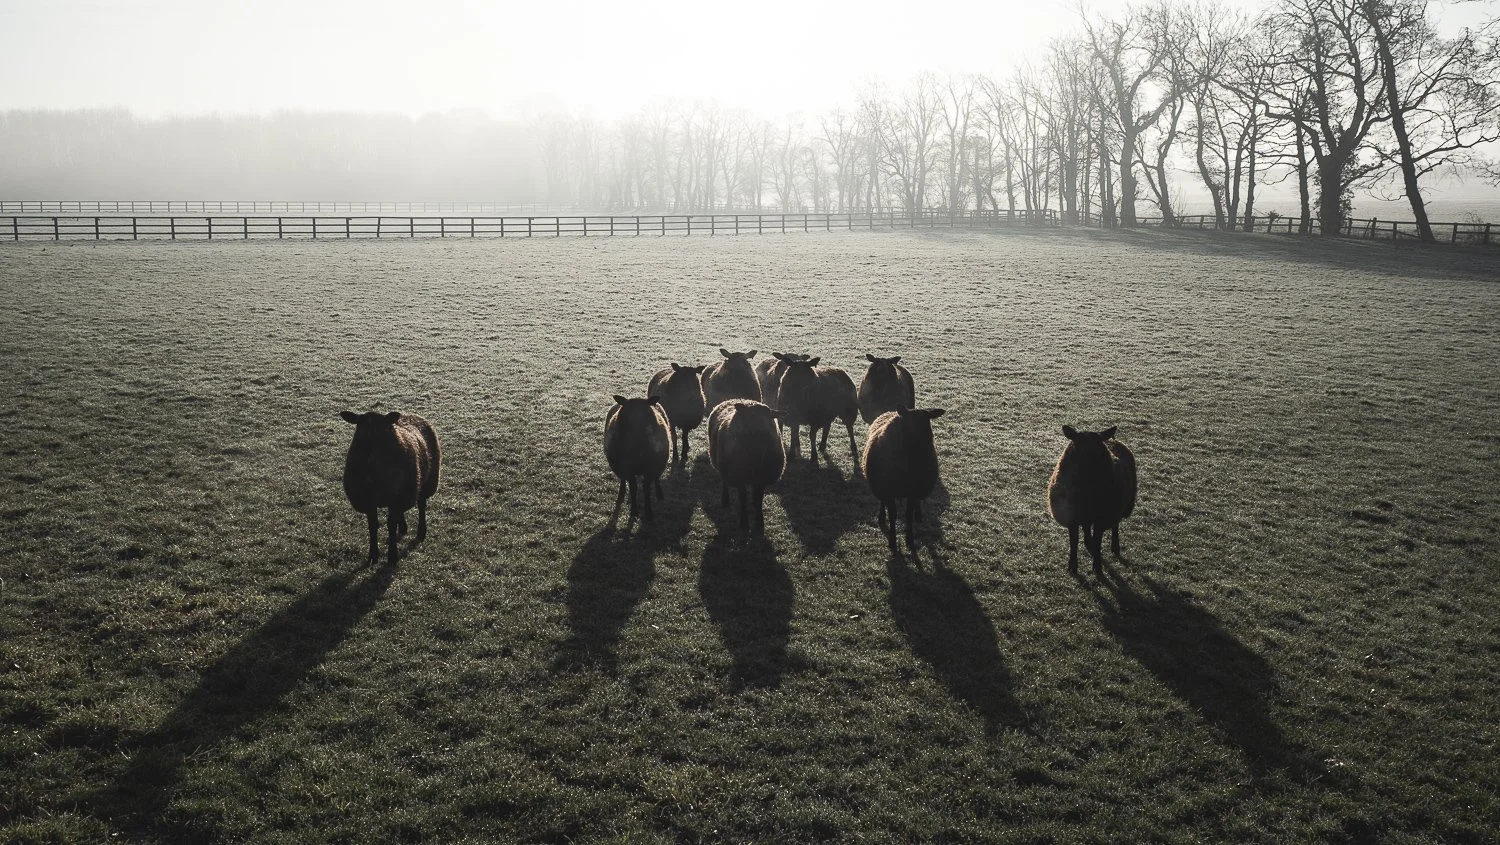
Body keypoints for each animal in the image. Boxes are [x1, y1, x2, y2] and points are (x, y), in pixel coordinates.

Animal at [340, 410, 441, 567]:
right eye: (359, 427)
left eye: (381, 428)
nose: (366, 454)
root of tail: (412, 414)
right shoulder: (369, 501)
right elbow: (373, 526)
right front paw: (373, 555)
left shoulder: (396, 497)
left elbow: (391, 525)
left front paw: (392, 556)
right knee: (401, 512)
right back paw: (404, 527)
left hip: (426, 483)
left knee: (421, 506)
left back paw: (421, 531)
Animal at [604, 394, 671, 523]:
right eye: (628, 412)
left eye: (647, 412)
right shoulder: (628, 469)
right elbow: (633, 488)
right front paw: (634, 511)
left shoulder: (650, 468)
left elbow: (646, 489)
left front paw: (649, 513)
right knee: (623, 480)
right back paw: (621, 493)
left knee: (656, 478)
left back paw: (659, 494)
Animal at [707, 399, 787, 536]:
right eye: (746, 417)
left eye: (768, 416)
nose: (759, 433)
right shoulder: (739, 477)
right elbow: (743, 498)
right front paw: (744, 523)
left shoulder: (762, 477)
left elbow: (759, 498)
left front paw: (760, 522)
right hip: (724, 466)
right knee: (724, 482)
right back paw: (725, 501)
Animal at [861, 405, 945, 552]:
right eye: (910, 423)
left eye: (928, 422)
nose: (928, 442)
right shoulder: (887, 491)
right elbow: (893, 515)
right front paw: (892, 542)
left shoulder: (913, 492)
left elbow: (908, 515)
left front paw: (909, 540)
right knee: (883, 503)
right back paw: (881, 517)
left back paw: (918, 514)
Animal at [1047, 425, 1137, 574]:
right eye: (1077, 445)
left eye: (1097, 449)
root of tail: (1113, 440)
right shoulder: (1072, 517)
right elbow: (1074, 542)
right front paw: (1072, 566)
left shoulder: (1101, 519)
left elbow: (1098, 542)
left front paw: (1097, 566)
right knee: (1087, 527)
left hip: (1119, 508)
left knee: (1115, 525)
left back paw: (1115, 547)